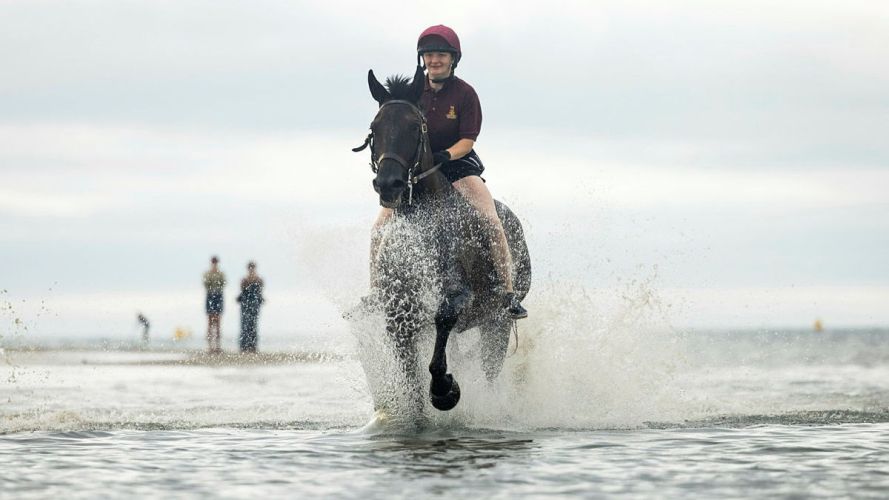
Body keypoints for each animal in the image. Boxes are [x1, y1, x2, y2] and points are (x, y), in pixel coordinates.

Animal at [352, 65, 531, 415]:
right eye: (374, 128)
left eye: (415, 126)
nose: (389, 184)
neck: (423, 218)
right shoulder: (399, 312)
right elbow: (409, 375)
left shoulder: (459, 296)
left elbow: (444, 319)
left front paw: (445, 391)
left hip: (497, 322)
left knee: (490, 369)